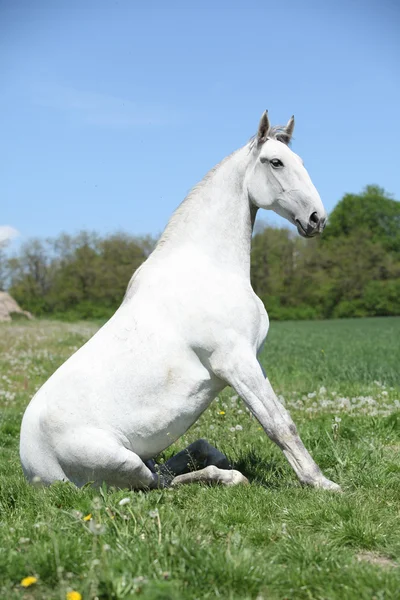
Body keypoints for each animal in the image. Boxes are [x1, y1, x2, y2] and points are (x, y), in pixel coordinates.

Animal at [20, 112, 340, 492]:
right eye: (275, 162)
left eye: (300, 161)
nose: (316, 219)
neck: (209, 266)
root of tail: (31, 468)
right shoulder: (235, 362)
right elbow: (279, 426)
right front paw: (321, 483)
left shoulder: (252, 360)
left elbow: (280, 419)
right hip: (123, 464)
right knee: (159, 483)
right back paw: (229, 476)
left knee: (173, 467)